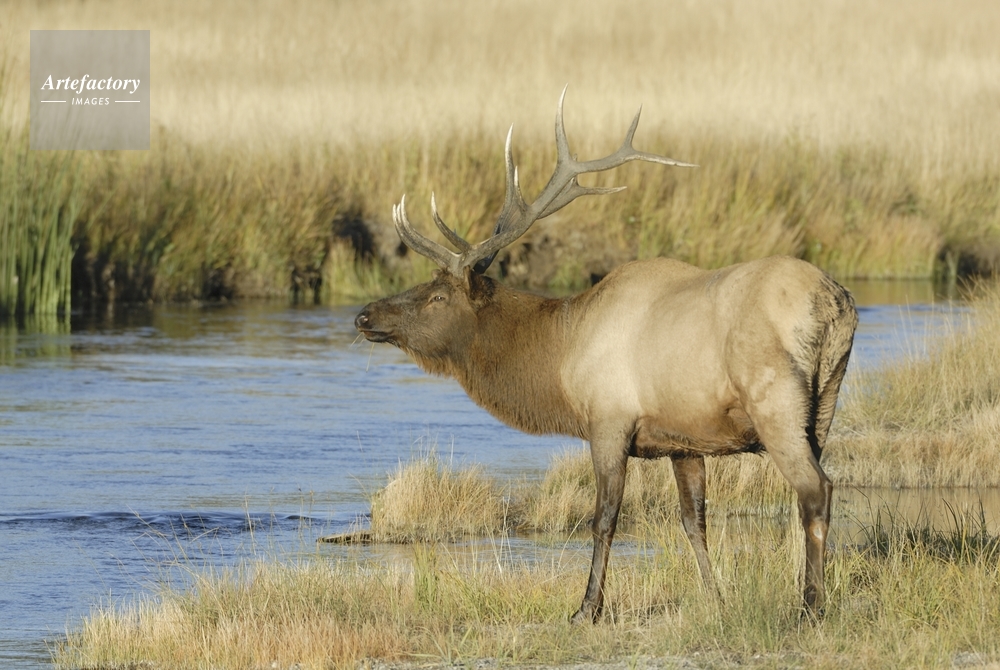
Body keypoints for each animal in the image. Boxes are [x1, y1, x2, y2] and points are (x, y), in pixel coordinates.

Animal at [355, 89, 858, 623]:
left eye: (437, 296)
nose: (364, 315)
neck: (559, 355)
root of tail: (836, 303)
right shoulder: (684, 440)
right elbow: (693, 519)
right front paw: (715, 597)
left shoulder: (608, 422)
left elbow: (603, 519)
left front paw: (587, 607)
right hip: (824, 405)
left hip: (775, 403)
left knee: (814, 490)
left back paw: (810, 605)